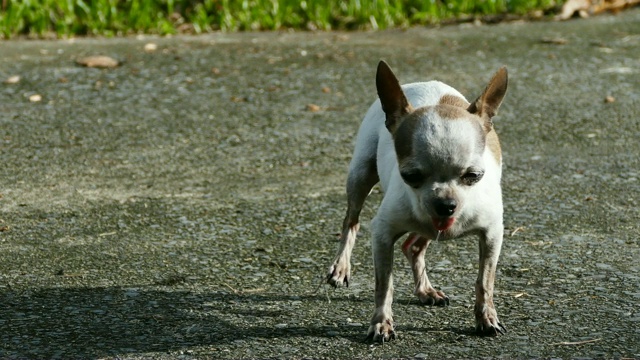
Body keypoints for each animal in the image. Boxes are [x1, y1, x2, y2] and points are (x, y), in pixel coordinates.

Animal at [328, 60, 508, 342]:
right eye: (410, 176)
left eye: (473, 176)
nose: (446, 205)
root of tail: (423, 82)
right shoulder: (382, 234)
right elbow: (384, 284)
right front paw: (381, 323)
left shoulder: (491, 235)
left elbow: (484, 281)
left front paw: (486, 318)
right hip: (361, 176)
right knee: (351, 221)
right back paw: (340, 267)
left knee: (412, 246)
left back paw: (426, 290)